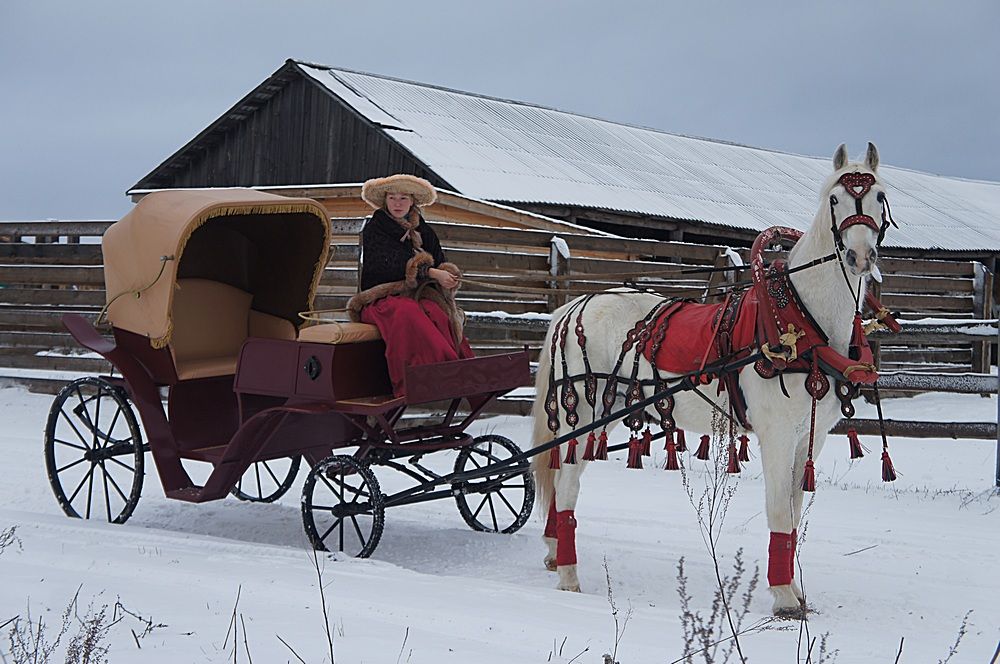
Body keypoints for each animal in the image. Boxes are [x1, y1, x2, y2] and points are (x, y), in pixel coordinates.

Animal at [532, 143, 892, 616]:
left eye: (880, 197)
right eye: (834, 199)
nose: (860, 256)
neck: (799, 320)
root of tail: (572, 307)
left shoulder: (808, 438)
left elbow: (795, 513)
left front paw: (794, 591)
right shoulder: (777, 435)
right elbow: (779, 512)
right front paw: (782, 596)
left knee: (559, 490)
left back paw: (554, 553)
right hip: (584, 415)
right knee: (568, 488)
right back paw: (570, 575)